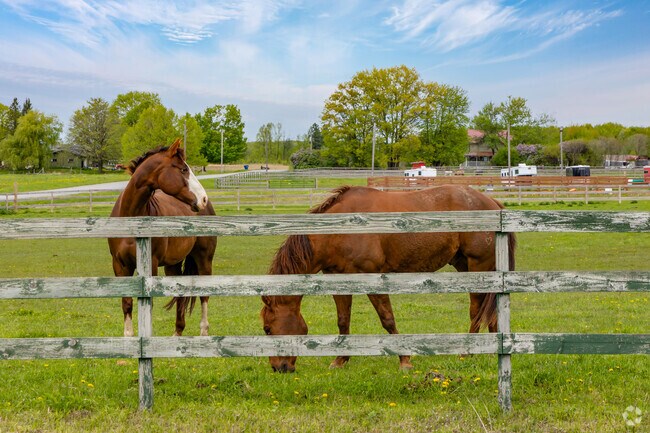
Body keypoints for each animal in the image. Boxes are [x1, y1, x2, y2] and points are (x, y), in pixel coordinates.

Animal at [108, 139, 217, 337]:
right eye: (183, 169)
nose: (203, 199)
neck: (131, 219)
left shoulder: (150, 265)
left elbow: (147, 302)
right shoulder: (120, 265)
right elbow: (126, 303)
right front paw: (128, 336)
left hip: (204, 258)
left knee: (204, 295)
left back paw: (203, 332)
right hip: (173, 264)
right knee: (179, 292)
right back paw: (177, 333)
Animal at [261, 185, 516, 373]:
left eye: (267, 329)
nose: (278, 368)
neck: (338, 231)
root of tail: (491, 202)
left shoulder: (373, 278)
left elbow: (387, 319)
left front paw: (404, 360)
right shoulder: (339, 279)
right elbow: (343, 320)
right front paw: (340, 359)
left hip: (479, 266)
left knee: (478, 311)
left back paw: (467, 353)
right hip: (467, 266)